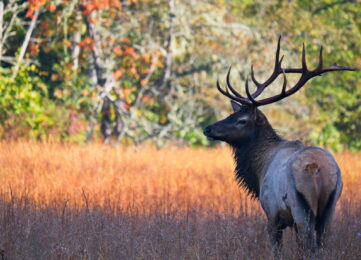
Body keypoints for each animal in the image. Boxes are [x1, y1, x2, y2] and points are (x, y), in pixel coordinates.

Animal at [202, 37, 354, 258]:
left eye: (241, 120)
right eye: (231, 114)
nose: (208, 128)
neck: (259, 169)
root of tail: (317, 168)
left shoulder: (272, 213)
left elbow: (277, 250)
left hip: (301, 206)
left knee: (309, 245)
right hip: (331, 204)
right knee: (321, 243)